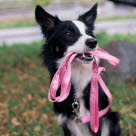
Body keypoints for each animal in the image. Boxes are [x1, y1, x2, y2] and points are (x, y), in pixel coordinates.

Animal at [35, 3, 121, 135]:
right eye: (68, 33)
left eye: (88, 32)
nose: (93, 42)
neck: (77, 73)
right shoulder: (65, 122)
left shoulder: (96, 121)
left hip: (112, 117)